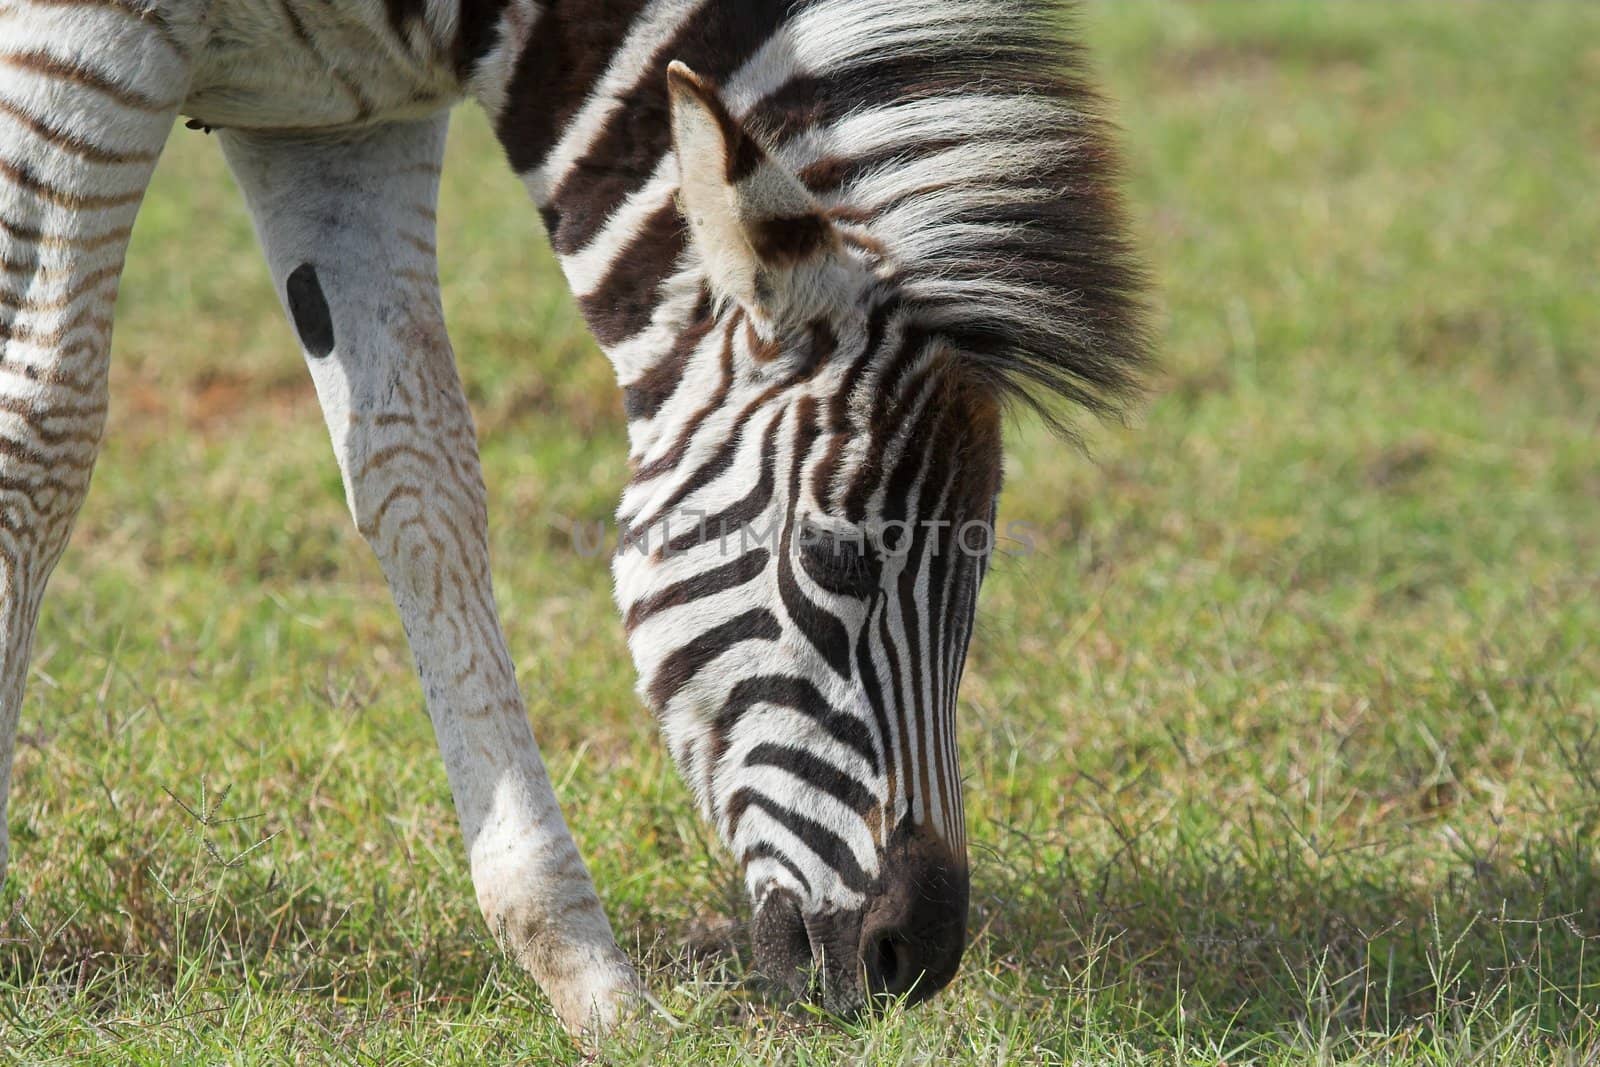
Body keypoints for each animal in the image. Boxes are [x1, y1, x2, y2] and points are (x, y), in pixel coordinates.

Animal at [0, 0, 1145, 1036]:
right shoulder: (78, 46)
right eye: (836, 558)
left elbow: (421, 469)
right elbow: (40, 434)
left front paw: (592, 982)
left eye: (981, 578)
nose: (917, 956)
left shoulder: (336, 123)